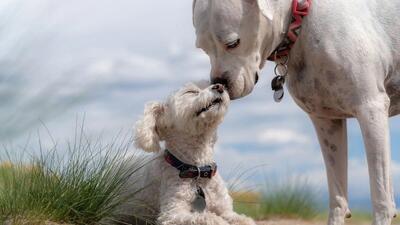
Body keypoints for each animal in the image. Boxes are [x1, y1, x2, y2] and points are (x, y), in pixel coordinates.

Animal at [131, 81, 256, 225]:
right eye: (191, 92)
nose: (219, 86)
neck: (199, 172)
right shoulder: (171, 214)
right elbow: (205, 216)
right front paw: (217, 220)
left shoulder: (226, 210)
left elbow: (242, 219)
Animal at [193, 0, 400, 225]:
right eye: (203, 49)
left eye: (233, 43)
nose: (219, 83)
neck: (301, 19)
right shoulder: (327, 123)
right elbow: (337, 195)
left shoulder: (370, 109)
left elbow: (380, 194)